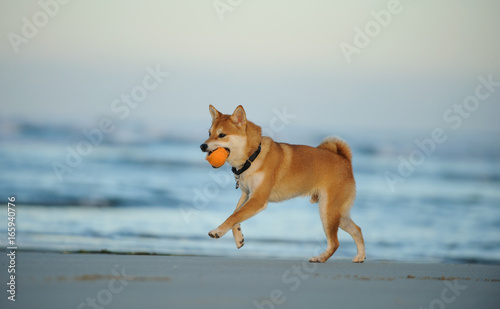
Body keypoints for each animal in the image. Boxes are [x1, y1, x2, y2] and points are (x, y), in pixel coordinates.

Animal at [199, 104, 368, 262]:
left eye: (222, 135)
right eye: (209, 133)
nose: (202, 146)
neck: (253, 156)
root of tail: (345, 160)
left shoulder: (258, 199)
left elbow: (234, 216)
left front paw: (218, 231)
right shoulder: (247, 194)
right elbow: (235, 214)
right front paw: (238, 237)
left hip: (327, 211)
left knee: (335, 243)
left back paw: (320, 258)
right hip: (338, 213)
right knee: (357, 229)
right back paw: (360, 256)